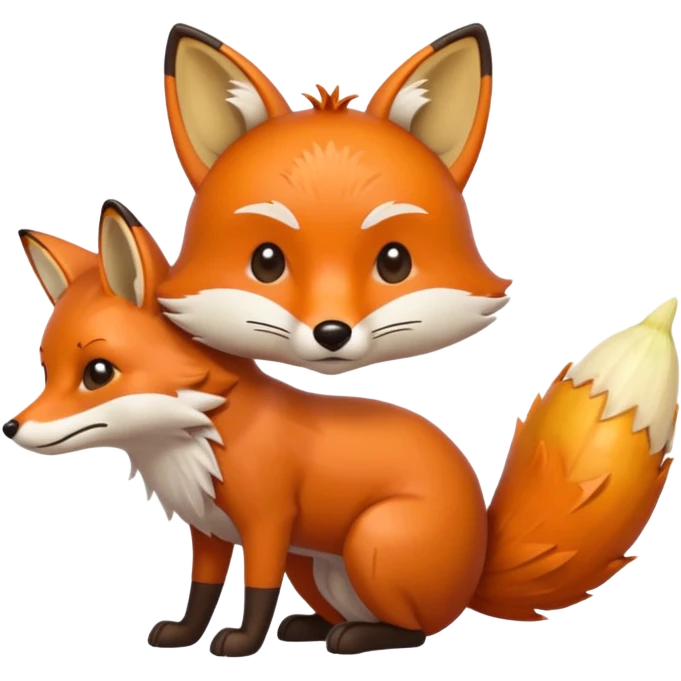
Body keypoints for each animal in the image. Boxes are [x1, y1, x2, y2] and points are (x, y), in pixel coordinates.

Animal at [4, 199, 680, 658]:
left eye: (97, 373)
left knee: (419, 629)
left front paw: (241, 642)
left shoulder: (268, 522)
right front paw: (184, 633)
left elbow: (256, 592)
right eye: (46, 369)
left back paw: (356, 635)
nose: (13, 427)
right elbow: (201, 591)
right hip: (318, 562)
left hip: (371, 541)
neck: (200, 433)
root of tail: (478, 561)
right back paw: (314, 626)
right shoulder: (210, 528)